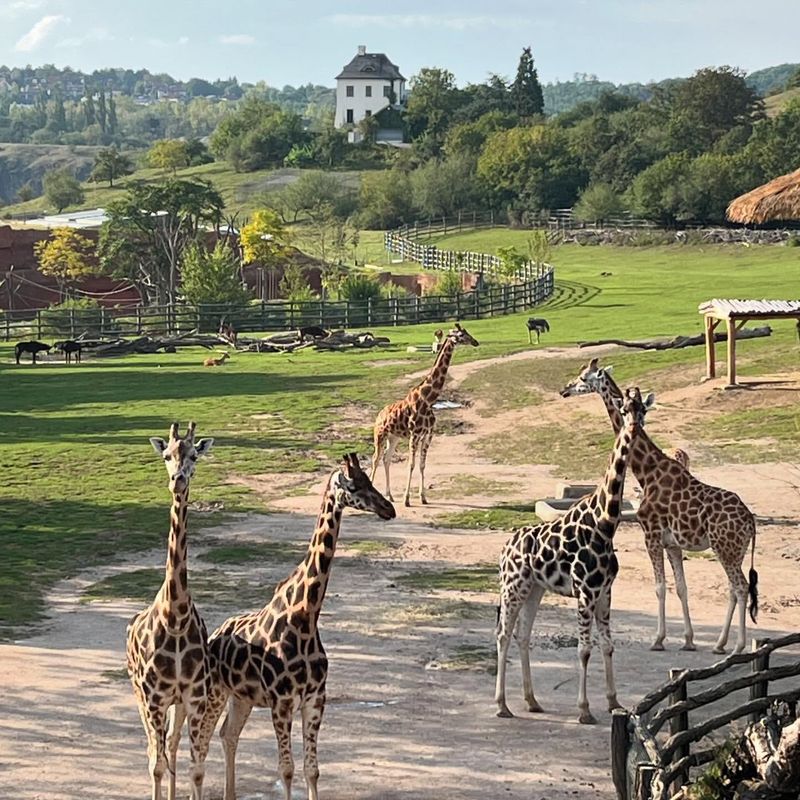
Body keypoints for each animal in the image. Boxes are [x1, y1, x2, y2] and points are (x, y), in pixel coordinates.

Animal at [182, 454, 394, 800]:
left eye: (370, 480)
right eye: (354, 485)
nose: (389, 509)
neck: (306, 616)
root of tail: (213, 637)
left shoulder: (315, 699)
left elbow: (312, 770)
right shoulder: (281, 702)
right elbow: (287, 770)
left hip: (242, 697)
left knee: (228, 734)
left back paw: (230, 793)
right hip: (214, 692)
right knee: (200, 743)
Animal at [372, 320, 478, 504]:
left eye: (467, 332)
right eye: (461, 334)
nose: (475, 342)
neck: (428, 400)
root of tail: (379, 415)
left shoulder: (428, 435)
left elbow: (422, 465)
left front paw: (422, 497)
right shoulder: (414, 435)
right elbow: (411, 465)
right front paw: (407, 499)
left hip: (393, 437)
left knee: (386, 459)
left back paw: (390, 495)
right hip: (380, 435)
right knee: (375, 459)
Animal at [496, 388, 652, 724]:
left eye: (642, 410)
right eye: (623, 408)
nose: (633, 428)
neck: (605, 524)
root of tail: (504, 549)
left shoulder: (605, 592)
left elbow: (608, 645)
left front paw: (613, 701)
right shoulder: (585, 592)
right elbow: (584, 649)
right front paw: (584, 710)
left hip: (534, 588)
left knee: (522, 635)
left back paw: (532, 701)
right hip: (512, 587)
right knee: (503, 634)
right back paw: (502, 705)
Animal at [560, 360, 760, 652]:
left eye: (584, 377)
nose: (565, 389)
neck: (646, 472)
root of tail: (751, 522)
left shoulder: (651, 535)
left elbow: (660, 587)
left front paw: (658, 639)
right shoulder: (672, 543)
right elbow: (681, 587)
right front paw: (688, 640)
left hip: (724, 547)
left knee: (741, 587)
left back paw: (737, 646)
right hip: (735, 550)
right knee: (734, 588)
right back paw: (720, 643)